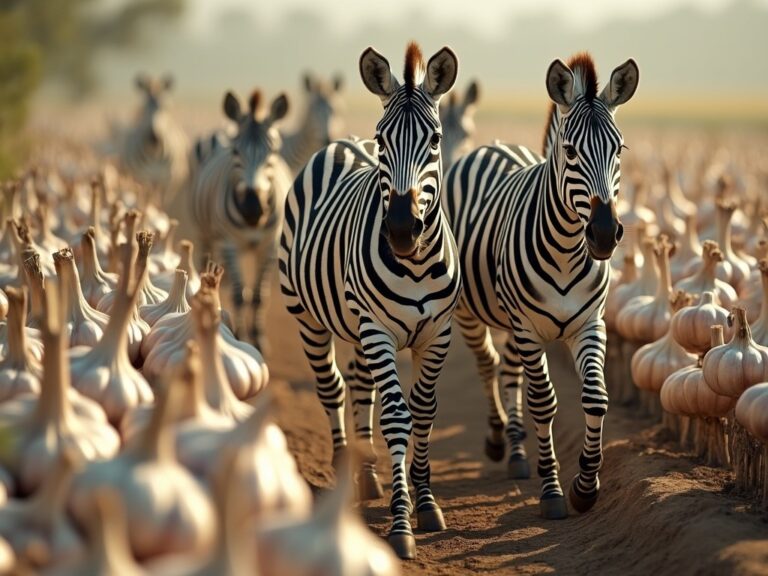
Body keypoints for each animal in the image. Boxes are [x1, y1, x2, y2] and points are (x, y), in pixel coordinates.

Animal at [121, 72, 192, 207]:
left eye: (165, 107)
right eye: (145, 106)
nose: (153, 138)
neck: (154, 154)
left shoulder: (167, 181)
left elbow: (161, 204)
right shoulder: (143, 178)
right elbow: (145, 203)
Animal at [189, 89, 292, 346]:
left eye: (273, 152)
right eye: (235, 152)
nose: (252, 209)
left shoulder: (270, 245)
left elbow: (258, 297)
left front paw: (259, 338)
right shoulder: (229, 243)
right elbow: (239, 295)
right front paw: (241, 336)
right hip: (206, 233)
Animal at [282, 42, 462, 560]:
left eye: (435, 139)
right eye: (384, 141)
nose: (401, 230)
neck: (416, 263)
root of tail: (341, 141)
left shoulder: (438, 333)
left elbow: (424, 411)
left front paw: (426, 503)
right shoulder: (378, 330)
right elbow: (397, 416)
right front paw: (401, 526)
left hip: (358, 325)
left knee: (362, 388)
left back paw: (365, 479)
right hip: (309, 317)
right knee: (334, 388)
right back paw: (345, 477)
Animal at [440, 54, 640, 520]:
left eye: (619, 149)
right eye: (570, 151)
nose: (605, 234)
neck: (567, 249)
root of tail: (491, 145)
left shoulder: (590, 325)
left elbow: (595, 397)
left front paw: (586, 486)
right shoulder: (530, 329)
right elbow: (543, 402)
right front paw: (552, 492)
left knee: (509, 370)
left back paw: (516, 452)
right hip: (473, 315)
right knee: (488, 365)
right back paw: (499, 440)